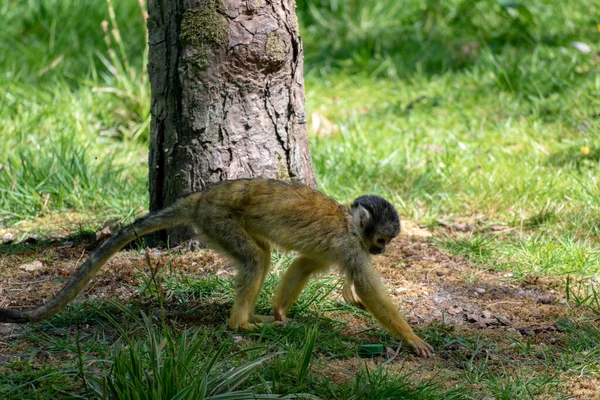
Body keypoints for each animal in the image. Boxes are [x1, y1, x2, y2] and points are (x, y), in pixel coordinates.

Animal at [0, 178, 432, 356]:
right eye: (382, 240)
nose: (381, 253)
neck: (350, 224)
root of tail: (200, 197)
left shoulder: (340, 248)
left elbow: (303, 265)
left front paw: (280, 312)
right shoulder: (350, 246)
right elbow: (372, 293)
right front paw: (412, 339)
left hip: (213, 224)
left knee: (262, 255)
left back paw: (253, 317)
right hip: (217, 219)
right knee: (256, 258)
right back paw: (240, 324)